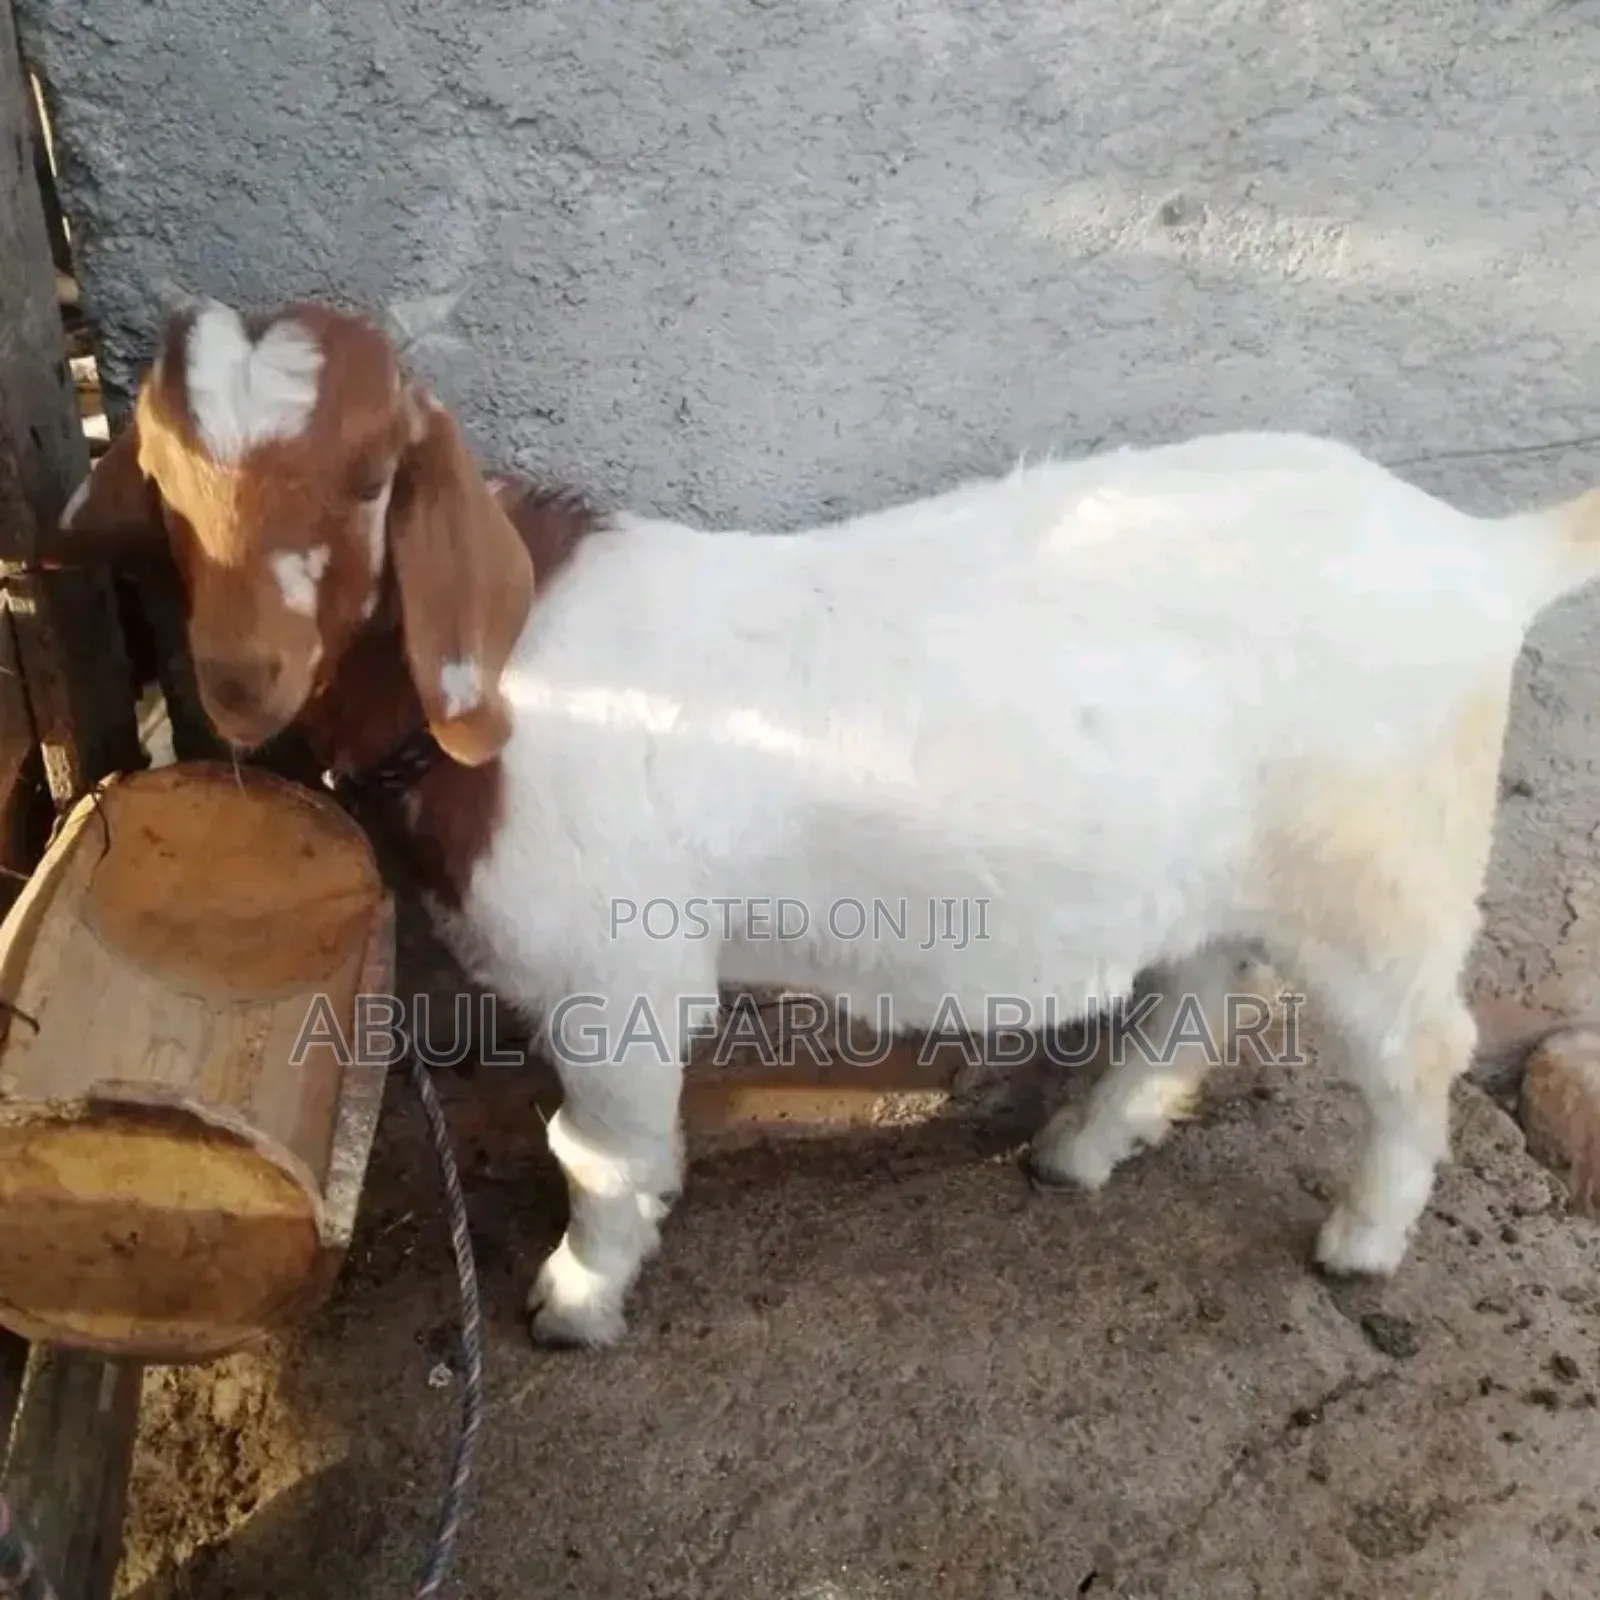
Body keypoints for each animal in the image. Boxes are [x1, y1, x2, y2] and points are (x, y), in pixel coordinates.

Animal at [55, 294, 1600, 1348]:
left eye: (374, 477)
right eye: (165, 483)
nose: (241, 677)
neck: (501, 672)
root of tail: (1482, 555)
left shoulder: (616, 976)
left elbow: (598, 1152)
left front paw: (576, 1300)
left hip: (1383, 873)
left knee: (1418, 1050)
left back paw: (1361, 1238)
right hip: (1230, 867)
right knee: (1195, 997)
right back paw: (1085, 1146)